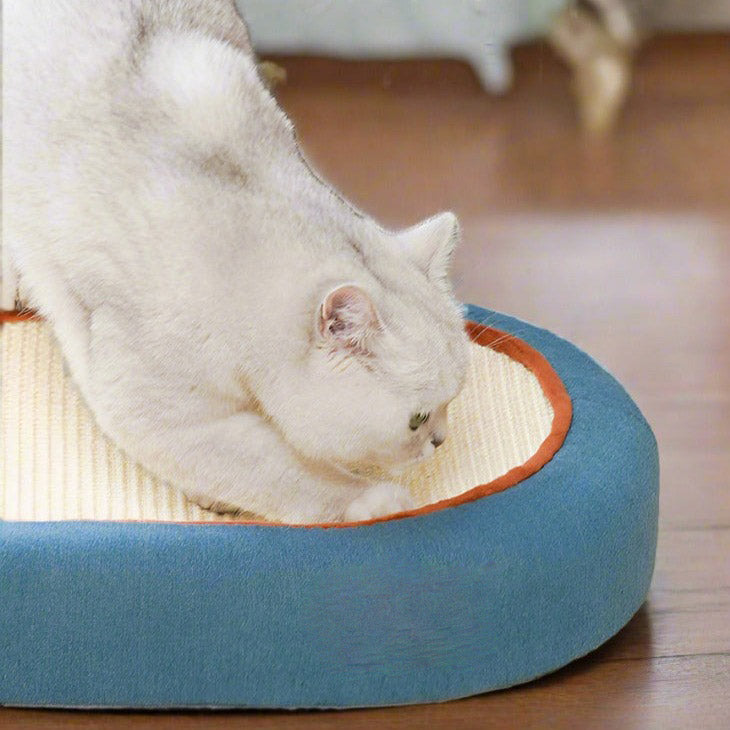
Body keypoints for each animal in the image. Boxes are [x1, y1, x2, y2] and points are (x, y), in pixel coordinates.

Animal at [4, 0, 466, 524]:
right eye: (417, 418)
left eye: (453, 400)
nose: (440, 440)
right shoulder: (162, 414)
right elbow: (277, 471)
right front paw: (370, 500)